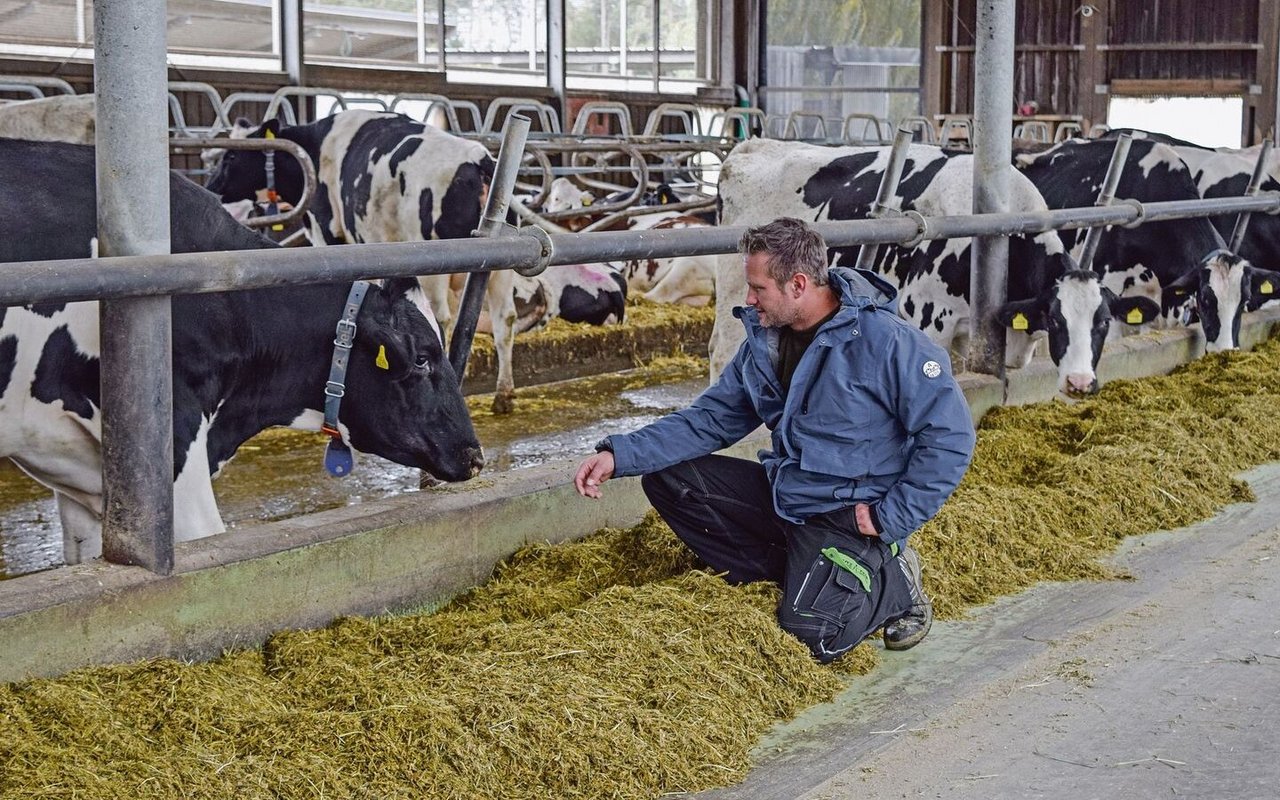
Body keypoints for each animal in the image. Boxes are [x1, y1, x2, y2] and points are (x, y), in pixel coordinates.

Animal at [711, 140, 1162, 399]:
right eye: (1055, 320)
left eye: (1103, 323)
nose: (1080, 383)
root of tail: (752, 145)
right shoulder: (930, 321)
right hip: (742, 292)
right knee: (721, 351)